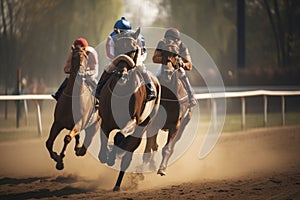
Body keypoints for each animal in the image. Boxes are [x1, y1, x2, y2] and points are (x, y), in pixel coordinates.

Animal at [98, 27, 159, 191]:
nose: (121, 73)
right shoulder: (105, 120)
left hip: (142, 127)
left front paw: (113, 155)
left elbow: (119, 137)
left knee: (128, 156)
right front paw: (106, 154)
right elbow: (104, 143)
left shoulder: (133, 121)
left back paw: (117, 185)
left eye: (134, 50)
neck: (121, 92)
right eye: (118, 47)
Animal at [144, 41, 195, 176]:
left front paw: (162, 169)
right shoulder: (153, 123)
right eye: (163, 53)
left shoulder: (175, 125)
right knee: (153, 145)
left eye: (176, 55)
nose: (167, 72)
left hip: (183, 125)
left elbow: (167, 148)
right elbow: (150, 147)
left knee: (171, 147)